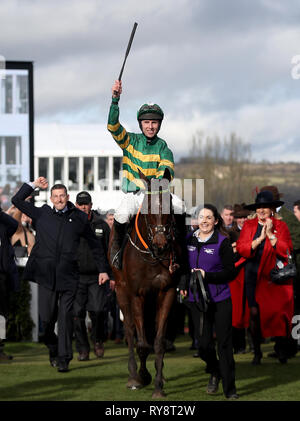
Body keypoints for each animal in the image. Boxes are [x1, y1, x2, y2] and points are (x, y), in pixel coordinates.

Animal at [109, 168, 182, 398]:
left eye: (169, 205)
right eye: (148, 207)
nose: (161, 244)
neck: (152, 256)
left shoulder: (167, 292)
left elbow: (158, 342)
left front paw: (158, 385)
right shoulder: (137, 294)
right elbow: (141, 343)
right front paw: (142, 377)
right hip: (121, 291)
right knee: (130, 332)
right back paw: (134, 375)